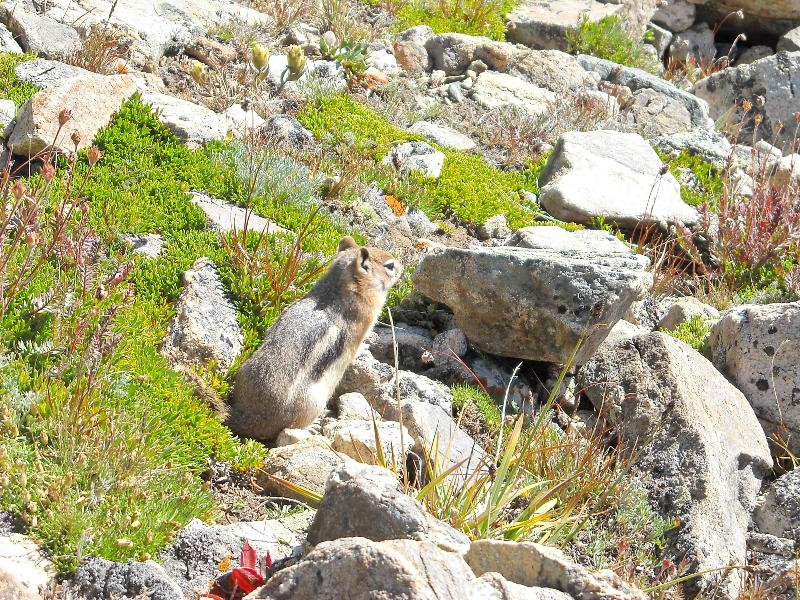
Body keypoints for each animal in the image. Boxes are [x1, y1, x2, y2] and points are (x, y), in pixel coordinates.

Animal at [227, 236, 403, 442]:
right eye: (390, 266)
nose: (402, 266)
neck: (337, 289)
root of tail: (249, 417)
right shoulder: (364, 322)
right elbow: (359, 345)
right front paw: (366, 348)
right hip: (314, 403)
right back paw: (312, 427)